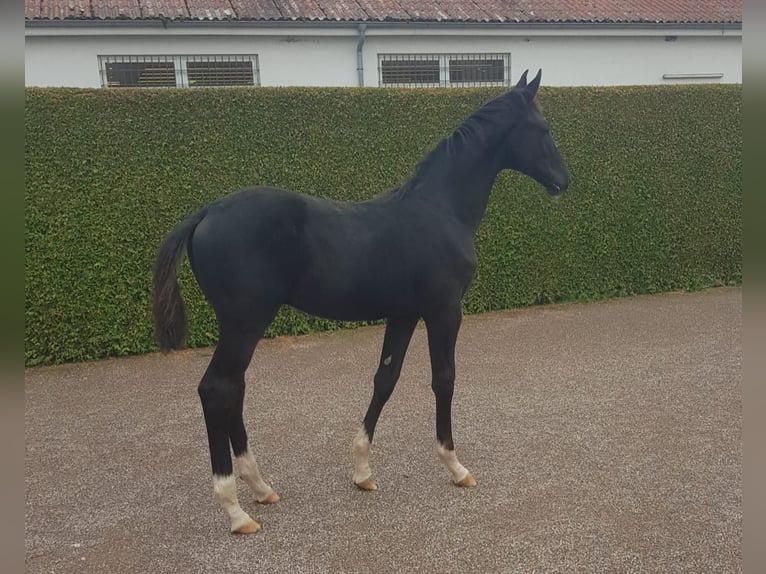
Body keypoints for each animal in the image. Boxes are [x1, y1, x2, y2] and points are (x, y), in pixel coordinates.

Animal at [152, 69, 570, 534]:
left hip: (243, 326)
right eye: (543, 129)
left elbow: (384, 379)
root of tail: (205, 213)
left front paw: (362, 472)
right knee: (217, 390)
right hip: (245, 323)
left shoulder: (404, 314)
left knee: (234, 389)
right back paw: (235, 509)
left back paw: (260, 487)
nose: (564, 180)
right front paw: (456, 466)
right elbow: (444, 379)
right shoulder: (444, 311)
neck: (438, 209)